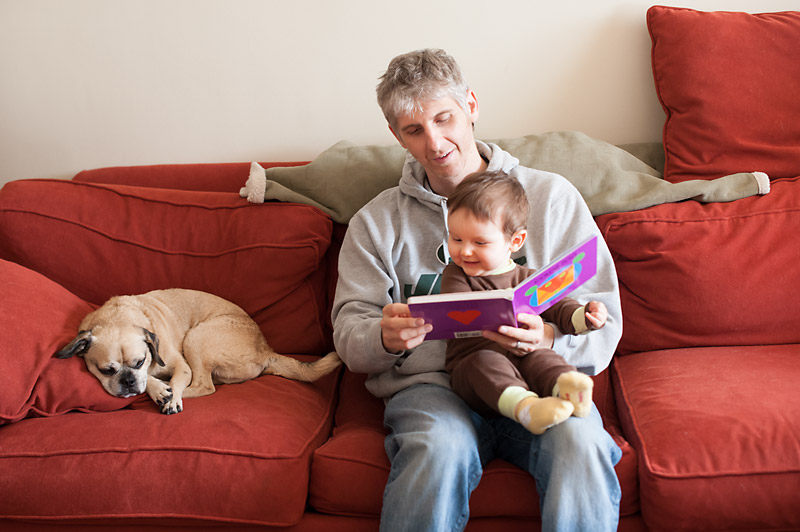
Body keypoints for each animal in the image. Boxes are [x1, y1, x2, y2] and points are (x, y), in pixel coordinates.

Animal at [54, 286, 342, 416]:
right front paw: (157, 389)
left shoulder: (179, 366)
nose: (127, 382)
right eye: (106, 370)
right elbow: (151, 381)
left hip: (196, 338)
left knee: (204, 386)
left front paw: (167, 394)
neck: (119, 317)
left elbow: (170, 381)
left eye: (139, 362)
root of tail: (266, 350)